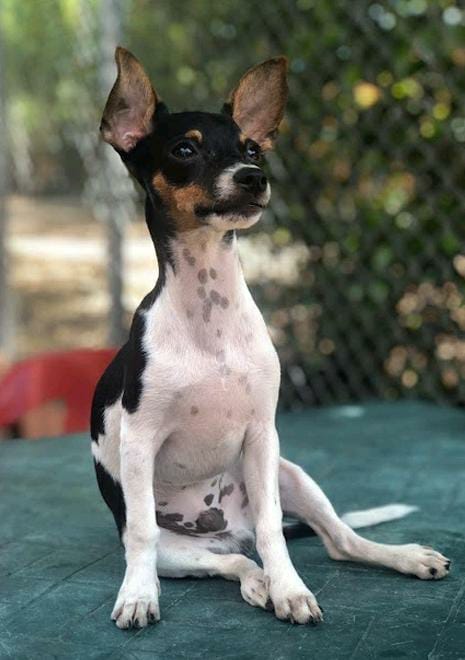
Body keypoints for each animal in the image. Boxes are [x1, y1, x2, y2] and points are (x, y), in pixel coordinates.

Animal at [91, 47, 450, 629]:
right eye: (185, 148)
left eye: (252, 148)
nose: (253, 177)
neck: (209, 312)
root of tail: (222, 531)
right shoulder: (139, 442)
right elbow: (142, 531)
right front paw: (139, 595)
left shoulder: (262, 436)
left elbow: (272, 534)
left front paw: (290, 588)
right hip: (179, 555)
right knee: (232, 560)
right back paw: (252, 583)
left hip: (291, 475)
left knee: (332, 541)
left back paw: (399, 558)